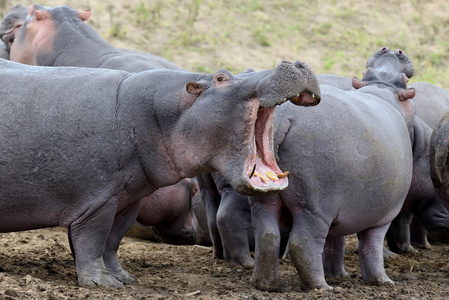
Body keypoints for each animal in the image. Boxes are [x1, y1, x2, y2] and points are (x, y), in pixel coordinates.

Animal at [0, 57, 322, 288]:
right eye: (220, 77)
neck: (157, 114)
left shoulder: (129, 198)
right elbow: (92, 240)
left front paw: (124, 279)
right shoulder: (97, 201)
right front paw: (102, 284)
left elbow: (112, 241)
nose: (295, 63)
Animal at [247, 48, 414, 290]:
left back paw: (265, 284)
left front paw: (338, 275)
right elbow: (370, 249)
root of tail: (285, 118)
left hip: (264, 198)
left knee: (267, 235)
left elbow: (336, 244)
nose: (391, 50)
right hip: (313, 208)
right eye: (405, 83)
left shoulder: (341, 213)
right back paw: (322, 287)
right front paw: (383, 282)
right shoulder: (383, 216)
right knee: (303, 243)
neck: (382, 87)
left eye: (366, 73)